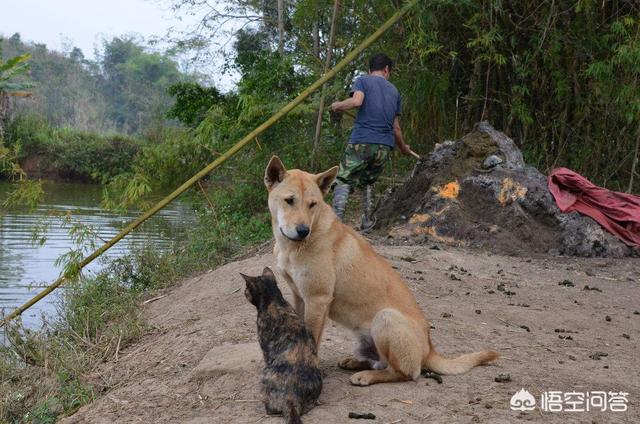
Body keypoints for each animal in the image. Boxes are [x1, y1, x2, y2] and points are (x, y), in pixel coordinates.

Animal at [240, 266, 320, 422]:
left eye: (247, 288)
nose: (244, 292)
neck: (275, 302)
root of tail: (290, 399)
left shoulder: (265, 348)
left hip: (266, 374)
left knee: (271, 410)